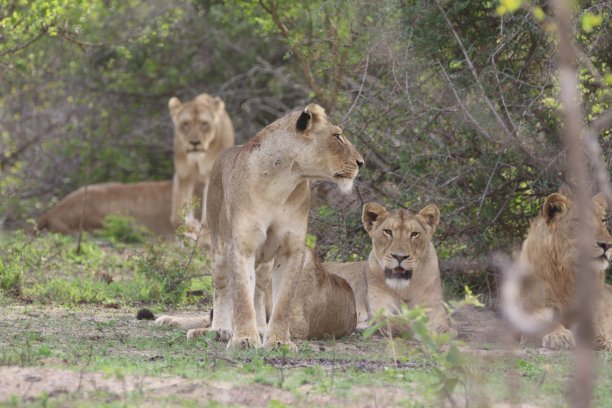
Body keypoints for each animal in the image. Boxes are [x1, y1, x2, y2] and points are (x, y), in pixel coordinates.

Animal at [330, 202, 450, 334]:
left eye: (414, 234)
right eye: (388, 232)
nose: (400, 256)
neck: (405, 289)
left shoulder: (435, 310)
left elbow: (443, 326)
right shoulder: (380, 311)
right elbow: (405, 324)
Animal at [502, 193, 612, 350]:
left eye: (602, 221)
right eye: (580, 222)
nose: (607, 245)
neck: (568, 275)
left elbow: (595, 325)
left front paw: (603, 339)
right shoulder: (527, 315)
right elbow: (544, 323)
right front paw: (560, 336)